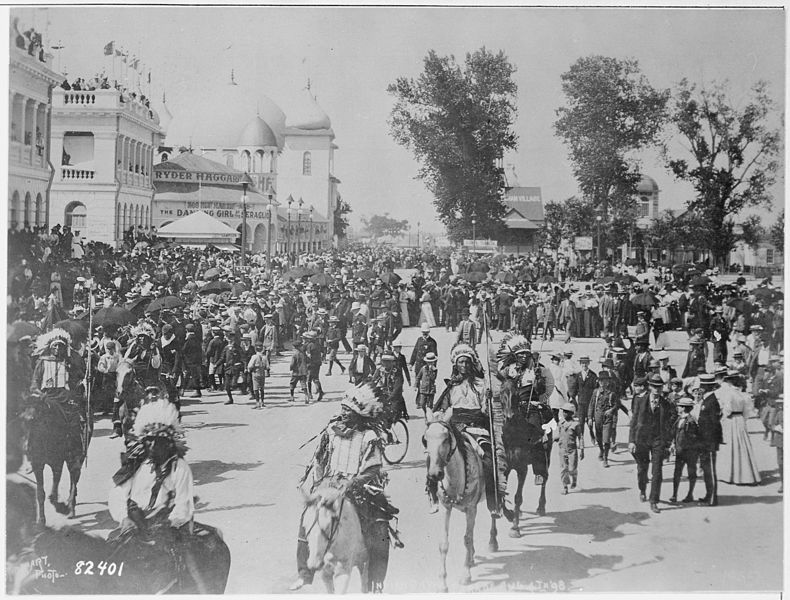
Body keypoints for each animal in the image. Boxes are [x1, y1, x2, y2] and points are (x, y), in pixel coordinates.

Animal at [424, 410, 492, 592]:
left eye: (446, 438)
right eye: (426, 439)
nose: (435, 474)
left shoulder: (471, 508)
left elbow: (466, 539)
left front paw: (465, 576)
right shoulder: (445, 507)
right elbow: (444, 544)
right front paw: (442, 583)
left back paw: (493, 542)